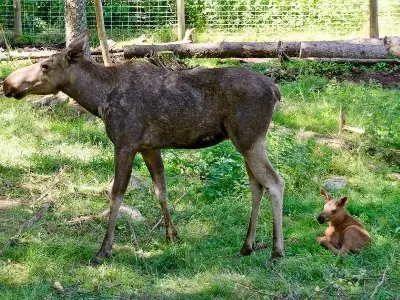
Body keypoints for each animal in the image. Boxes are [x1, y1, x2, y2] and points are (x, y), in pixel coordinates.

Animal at [3, 33, 284, 264]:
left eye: (45, 66)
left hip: (250, 139)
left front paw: (104, 250)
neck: (98, 101)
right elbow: (161, 190)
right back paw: (247, 246)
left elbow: (116, 195)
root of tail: (276, 90)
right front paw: (172, 235)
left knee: (275, 182)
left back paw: (276, 251)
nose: (6, 84)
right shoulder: (149, 147)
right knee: (256, 185)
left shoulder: (125, 143)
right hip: (244, 141)